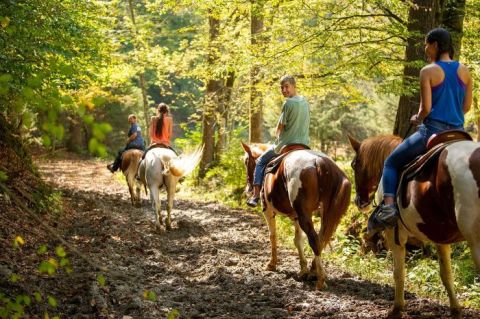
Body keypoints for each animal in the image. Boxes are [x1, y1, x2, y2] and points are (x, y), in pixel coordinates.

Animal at [242, 142, 350, 290]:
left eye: (246, 161)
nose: (248, 189)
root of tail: (319, 161)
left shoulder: (268, 210)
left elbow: (273, 236)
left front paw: (272, 264)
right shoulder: (295, 216)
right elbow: (298, 240)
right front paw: (303, 270)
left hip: (304, 213)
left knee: (314, 239)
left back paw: (320, 280)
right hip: (324, 214)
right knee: (321, 239)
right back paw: (313, 272)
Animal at [348, 134, 480, 318]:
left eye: (354, 165)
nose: (359, 201)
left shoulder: (394, 235)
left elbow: (398, 273)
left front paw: (396, 309)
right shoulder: (441, 238)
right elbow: (446, 275)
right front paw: (455, 310)